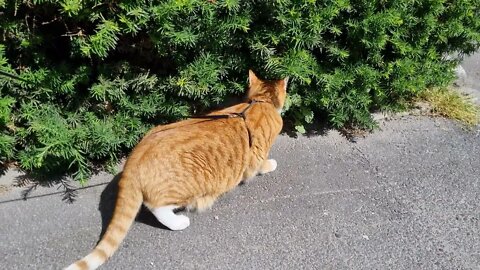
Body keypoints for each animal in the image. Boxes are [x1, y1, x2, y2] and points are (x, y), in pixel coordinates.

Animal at [65, 70, 286, 268]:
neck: (260, 102)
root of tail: (133, 160)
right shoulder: (258, 156)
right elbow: (262, 165)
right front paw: (272, 164)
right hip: (189, 188)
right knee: (156, 206)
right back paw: (178, 222)